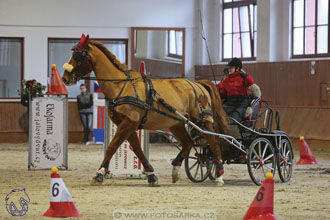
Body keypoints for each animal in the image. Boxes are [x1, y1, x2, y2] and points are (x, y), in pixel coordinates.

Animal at [62, 34, 228, 186]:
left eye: (77, 55)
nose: (64, 78)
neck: (121, 86)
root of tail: (199, 84)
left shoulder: (128, 123)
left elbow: (112, 147)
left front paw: (99, 173)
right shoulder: (127, 125)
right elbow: (137, 149)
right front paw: (151, 175)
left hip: (202, 121)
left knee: (214, 142)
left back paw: (219, 176)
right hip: (177, 123)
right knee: (188, 142)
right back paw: (175, 170)